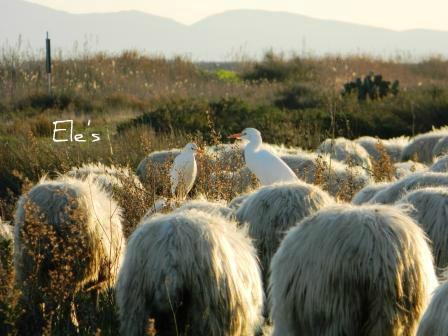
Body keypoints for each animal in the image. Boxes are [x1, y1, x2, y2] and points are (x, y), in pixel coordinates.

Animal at [14, 178, 125, 334]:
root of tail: (50, 207)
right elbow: (93, 297)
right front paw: (93, 319)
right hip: (71, 263)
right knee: (66, 299)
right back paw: (72, 325)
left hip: (31, 264)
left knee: (37, 298)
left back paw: (43, 323)